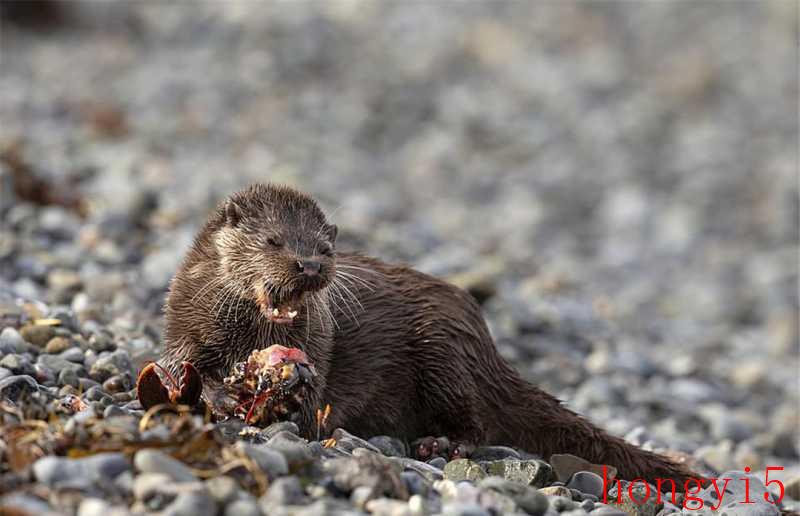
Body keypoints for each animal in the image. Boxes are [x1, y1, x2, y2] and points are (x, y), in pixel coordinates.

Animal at [162, 183, 700, 486]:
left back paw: (440, 445)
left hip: (443, 350)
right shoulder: (183, 324)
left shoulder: (320, 345)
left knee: (477, 422)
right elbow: (176, 368)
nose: (310, 265)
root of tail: (485, 340)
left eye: (325, 248)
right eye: (274, 241)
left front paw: (277, 396)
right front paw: (219, 394)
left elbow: (312, 410)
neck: (246, 337)